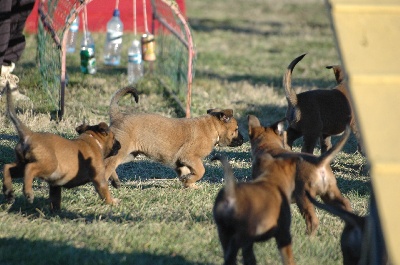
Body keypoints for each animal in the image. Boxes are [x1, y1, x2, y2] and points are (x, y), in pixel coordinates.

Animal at [1, 81, 120, 209]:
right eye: (114, 138)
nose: (120, 145)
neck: (93, 140)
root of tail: (29, 134)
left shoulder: (55, 184)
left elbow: (55, 199)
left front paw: (56, 211)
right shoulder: (99, 178)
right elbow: (105, 192)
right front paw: (112, 202)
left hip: (22, 164)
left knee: (7, 167)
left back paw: (8, 192)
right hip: (49, 164)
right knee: (30, 168)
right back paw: (28, 192)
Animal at [105, 86, 244, 188]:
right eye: (236, 129)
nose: (243, 140)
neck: (212, 128)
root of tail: (119, 116)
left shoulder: (181, 163)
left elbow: (187, 174)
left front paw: (189, 184)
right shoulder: (190, 157)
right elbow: (201, 171)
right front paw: (190, 181)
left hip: (128, 155)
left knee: (111, 165)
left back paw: (115, 182)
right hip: (122, 151)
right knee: (107, 166)